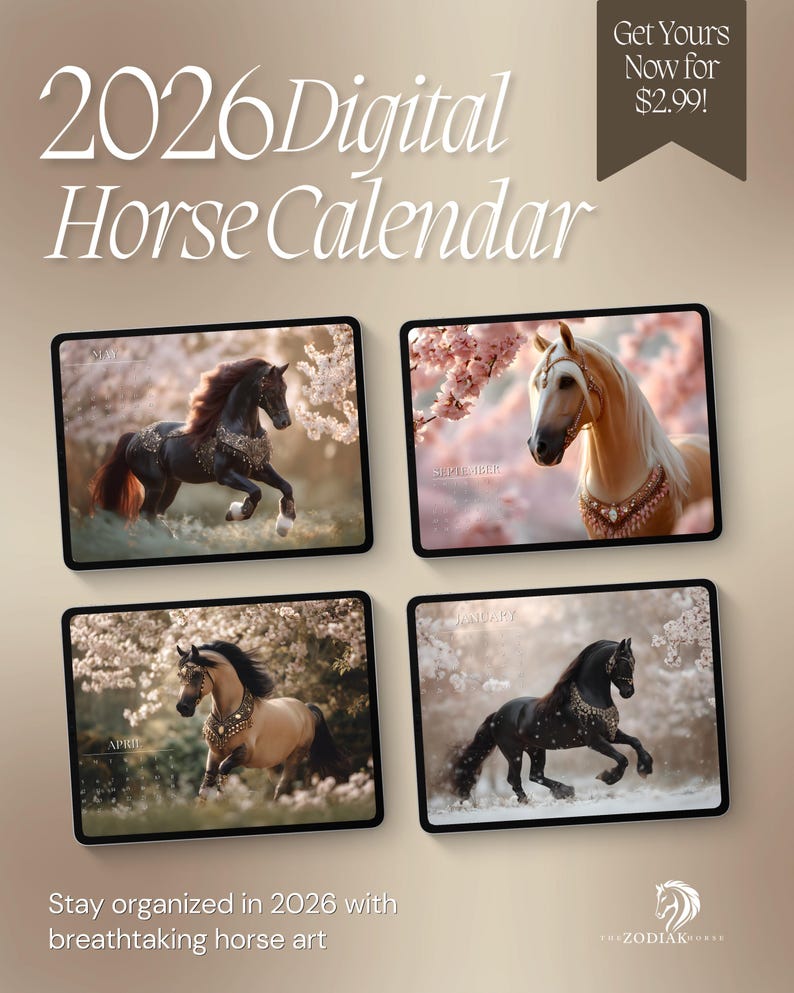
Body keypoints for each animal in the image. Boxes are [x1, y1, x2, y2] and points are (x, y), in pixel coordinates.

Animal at [88, 358, 297, 536]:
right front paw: (236, 512)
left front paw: (284, 526)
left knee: (156, 512)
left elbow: (286, 487)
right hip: (154, 485)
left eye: (285, 388)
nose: (285, 422)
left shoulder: (257, 469)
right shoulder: (225, 475)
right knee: (147, 512)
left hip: (171, 484)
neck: (240, 428)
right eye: (271, 390)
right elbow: (255, 492)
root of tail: (133, 437)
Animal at [175, 642, 349, 800]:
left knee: (282, 787)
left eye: (196, 674)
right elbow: (205, 787)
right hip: (274, 764)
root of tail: (306, 710)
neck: (226, 717)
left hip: (295, 756)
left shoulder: (244, 753)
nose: (182, 707)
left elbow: (222, 775)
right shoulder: (214, 754)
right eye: (179, 675)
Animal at [451, 638, 653, 803]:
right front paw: (607, 777)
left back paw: (564, 791)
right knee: (515, 779)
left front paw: (646, 767)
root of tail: (496, 715)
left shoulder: (610, 733)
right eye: (623, 663)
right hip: (513, 752)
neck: (590, 696)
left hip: (536, 749)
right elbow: (622, 759)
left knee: (535, 775)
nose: (628, 692)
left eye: (633, 663)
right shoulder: (594, 740)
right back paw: (531, 800)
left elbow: (635, 741)